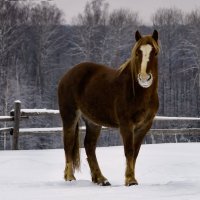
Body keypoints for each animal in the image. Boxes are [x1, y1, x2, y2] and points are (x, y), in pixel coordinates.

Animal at [57, 29, 159, 186]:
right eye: (137, 53)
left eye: (155, 52)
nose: (144, 78)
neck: (137, 92)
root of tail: (67, 75)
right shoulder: (126, 124)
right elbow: (129, 150)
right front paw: (130, 180)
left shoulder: (145, 126)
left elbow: (135, 152)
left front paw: (131, 178)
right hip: (69, 116)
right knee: (68, 144)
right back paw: (70, 177)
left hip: (93, 122)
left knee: (89, 146)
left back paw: (100, 179)